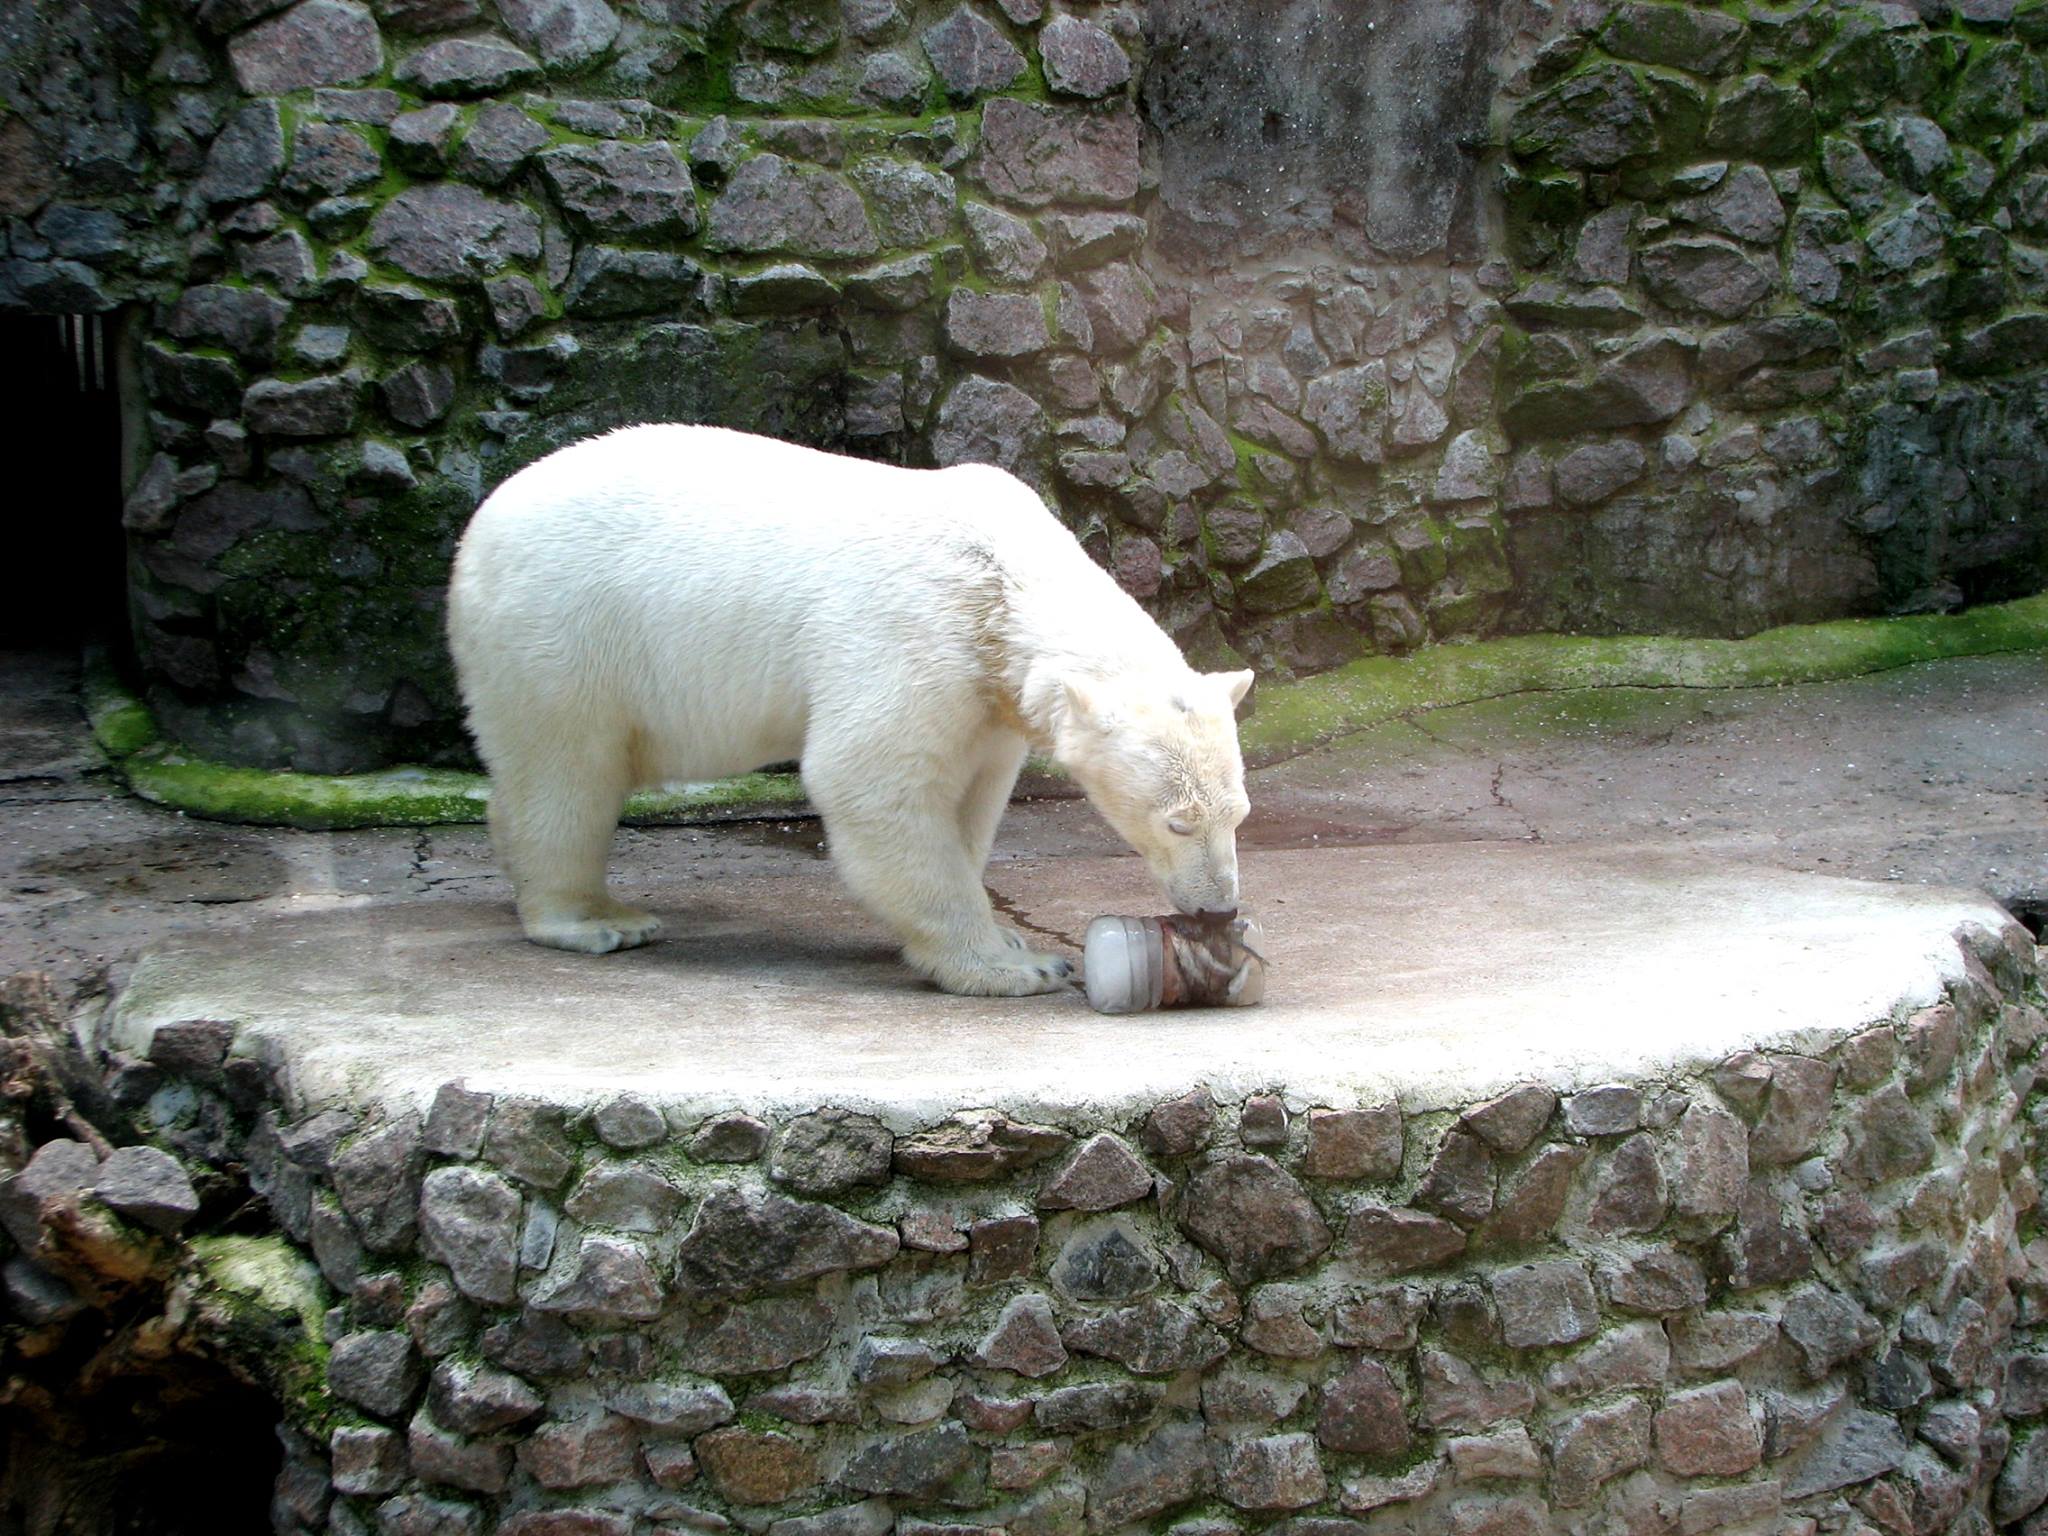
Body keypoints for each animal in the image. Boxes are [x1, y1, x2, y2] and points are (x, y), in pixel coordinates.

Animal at [446, 423, 1245, 999]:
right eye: (1177, 822)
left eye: (1237, 815)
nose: (1218, 909)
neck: (997, 581)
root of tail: (476, 532)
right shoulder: (915, 634)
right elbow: (870, 777)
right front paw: (1015, 965)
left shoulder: (986, 696)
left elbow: (972, 796)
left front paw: (1007, 937)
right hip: (562, 629)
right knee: (566, 771)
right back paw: (599, 920)